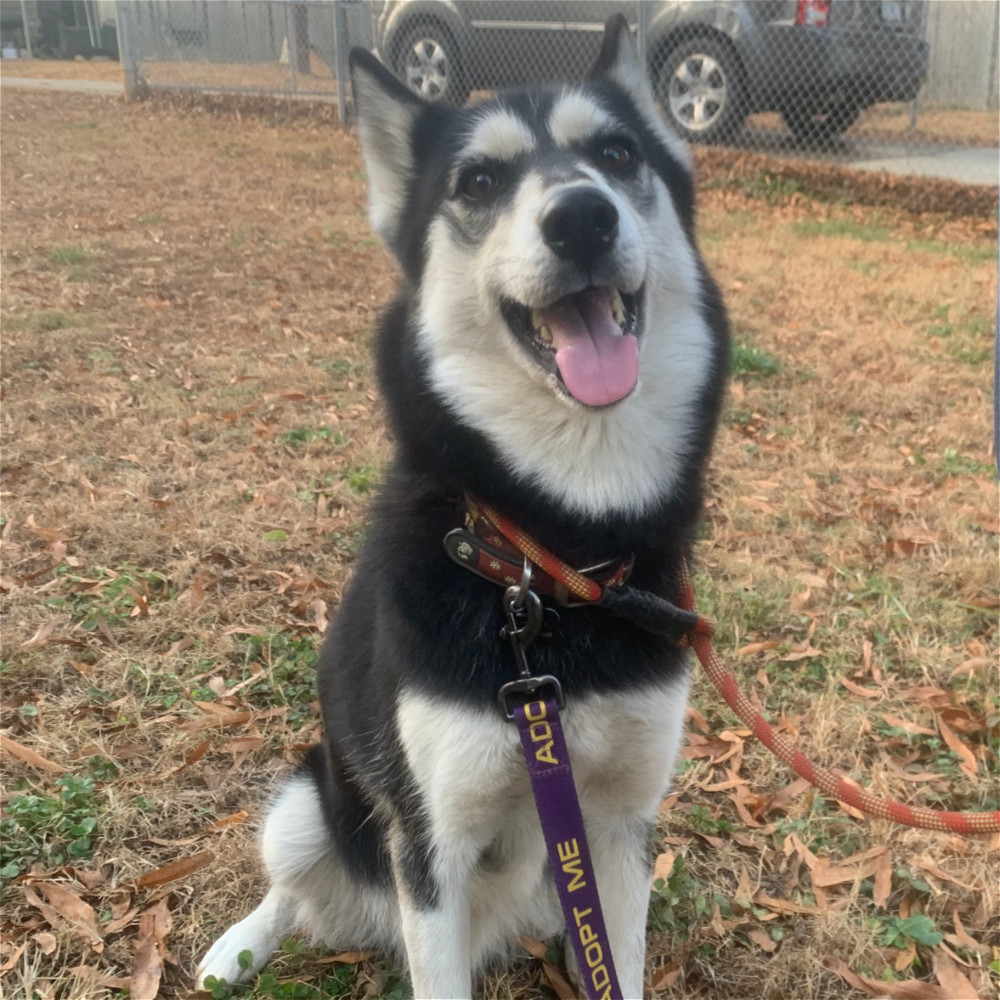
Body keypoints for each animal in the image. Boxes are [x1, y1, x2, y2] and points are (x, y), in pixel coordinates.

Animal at [197, 17, 728, 1000]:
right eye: (479, 182)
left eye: (617, 154)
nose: (582, 216)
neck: (549, 558)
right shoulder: (432, 845)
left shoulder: (622, 822)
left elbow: (622, 960)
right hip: (305, 803)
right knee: (290, 891)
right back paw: (237, 948)